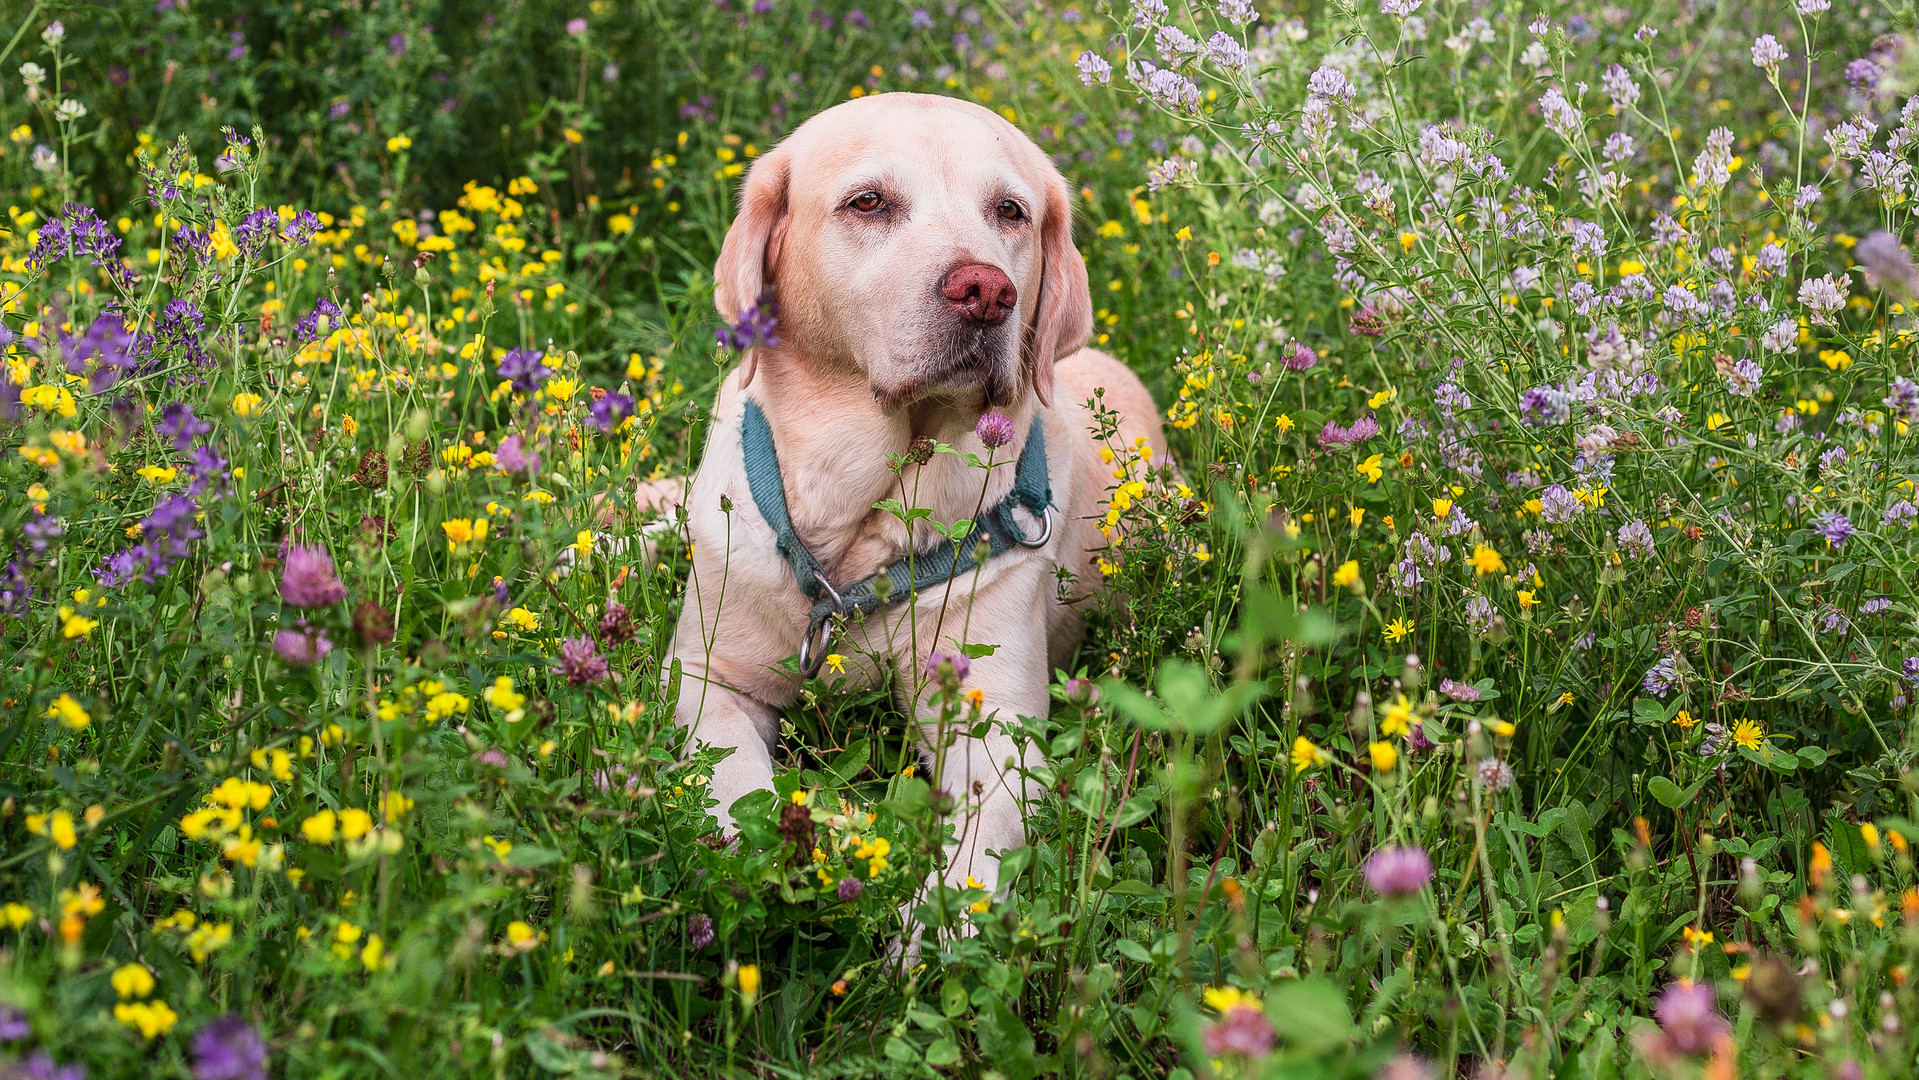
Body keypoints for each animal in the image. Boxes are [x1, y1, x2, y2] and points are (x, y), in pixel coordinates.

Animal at [660, 90, 1166, 905]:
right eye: (868, 202)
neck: (856, 541)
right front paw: (756, 853)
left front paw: (936, 925)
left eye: (1010, 212)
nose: (986, 292)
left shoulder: (996, 729)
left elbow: (974, 854)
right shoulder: (707, 677)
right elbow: (733, 776)